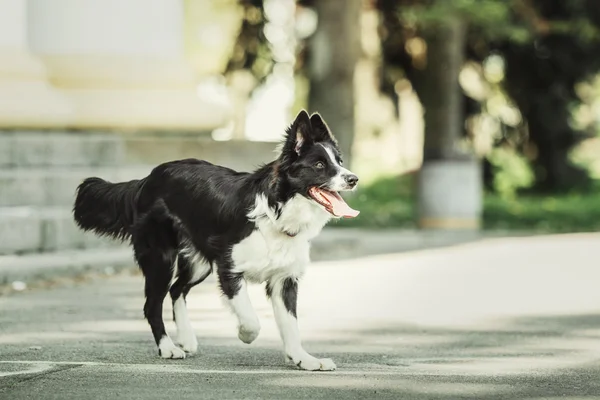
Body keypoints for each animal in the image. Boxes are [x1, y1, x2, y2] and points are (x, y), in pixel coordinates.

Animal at [72, 110, 358, 372]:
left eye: (340, 161)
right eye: (319, 165)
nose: (353, 179)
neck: (276, 212)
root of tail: (147, 179)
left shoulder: (284, 279)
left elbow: (291, 324)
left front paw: (303, 359)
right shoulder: (229, 269)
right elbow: (251, 319)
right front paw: (245, 335)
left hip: (199, 263)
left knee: (177, 290)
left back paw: (186, 339)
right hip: (161, 259)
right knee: (152, 304)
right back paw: (168, 348)